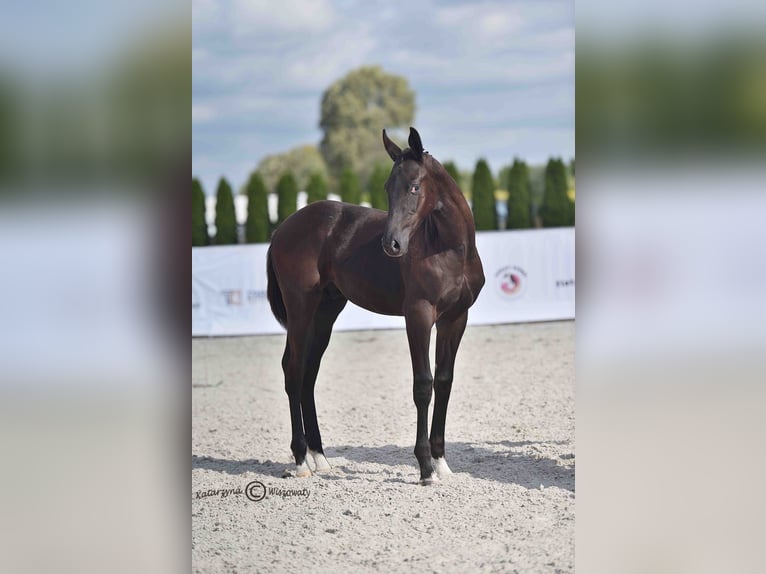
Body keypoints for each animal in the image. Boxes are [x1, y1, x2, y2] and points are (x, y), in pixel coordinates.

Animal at [266, 127, 485, 484]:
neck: (448, 250)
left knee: (309, 374)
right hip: (300, 308)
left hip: (325, 311)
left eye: (414, 186)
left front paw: (441, 462)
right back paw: (300, 461)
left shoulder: (455, 318)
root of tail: (281, 229)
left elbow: (444, 381)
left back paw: (320, 457)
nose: (391, 244)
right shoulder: (418, 315)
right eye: (386, 187)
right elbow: (423, 384)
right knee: (293, 370)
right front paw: (425, 468)